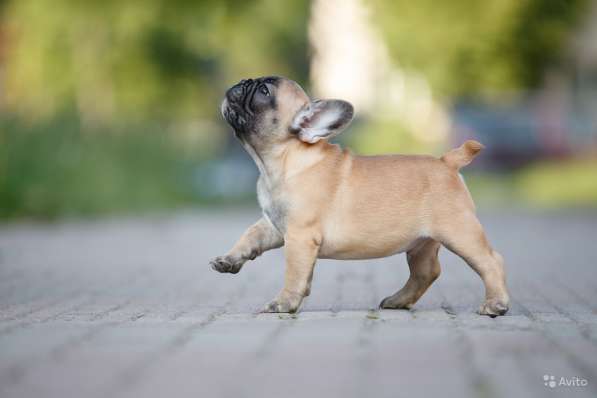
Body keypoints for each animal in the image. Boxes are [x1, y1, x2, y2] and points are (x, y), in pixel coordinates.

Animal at [212, 76, 510, 316]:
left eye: (264, 92)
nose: (243, 82)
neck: (283, 160)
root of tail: (447, 162)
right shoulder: (275, 225)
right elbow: (251, 235)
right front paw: (230, 259)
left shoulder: (299, 235)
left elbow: (294, 272)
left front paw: (284, 303)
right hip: (421, 242)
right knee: (426, 272)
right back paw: (398, 300)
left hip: (458, 230)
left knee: (490, 261)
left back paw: (495, 304)